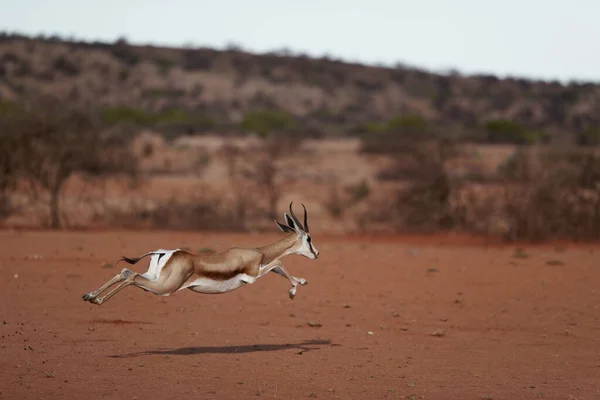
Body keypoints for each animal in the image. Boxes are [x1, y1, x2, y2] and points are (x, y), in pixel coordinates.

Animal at [82, 202, 322, 304]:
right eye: (309, 238)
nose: (316, 254)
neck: (257, 252)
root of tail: (165, 253)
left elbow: (278, 269)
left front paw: (301, 282)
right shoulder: (253, 275)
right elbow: (279, 264)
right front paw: (293, 290)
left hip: (154, 278)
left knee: (124, 271)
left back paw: (90, 296)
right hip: (164, 288)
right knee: (131, 277)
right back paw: (98, 300)